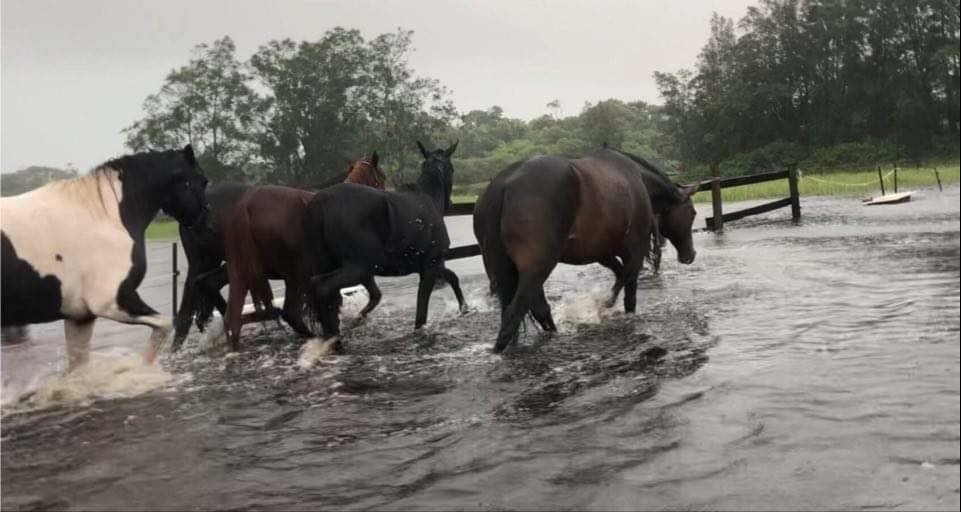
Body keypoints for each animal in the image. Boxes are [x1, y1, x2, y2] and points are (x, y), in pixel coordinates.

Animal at [0, 146, 207, 370]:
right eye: (202, 181)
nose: (207, 224)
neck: (107, 217)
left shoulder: (80, 317)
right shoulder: (113, 302)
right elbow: (165, 324)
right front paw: (139, 369)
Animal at [172, 156, 386, 350]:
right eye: (382, 178)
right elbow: (373, 295)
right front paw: (356, 319)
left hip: (224, 266)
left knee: (206, 297)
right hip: (288, 272)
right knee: (289, 312)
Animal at [300, 142, 464, 346]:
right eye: (452, 168)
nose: (451, 203)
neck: (428, 200)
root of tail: (319, 202)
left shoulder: (434, 266)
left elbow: (453, 277)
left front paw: (465, 308)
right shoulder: (430, 267)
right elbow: (421, 313)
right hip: (357, 269)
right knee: (323, 287)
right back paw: (334, 338)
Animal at [472, 147, 696, 352]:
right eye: (692, 212)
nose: (690, 255)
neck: (636, 179)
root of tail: (503, 184)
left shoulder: (603, 253)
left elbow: (620, 275)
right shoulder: (635, 252)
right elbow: (627, 289)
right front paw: (605, 305)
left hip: (514, 271)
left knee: (535, 310)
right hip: (537, 269)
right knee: (514, 314)